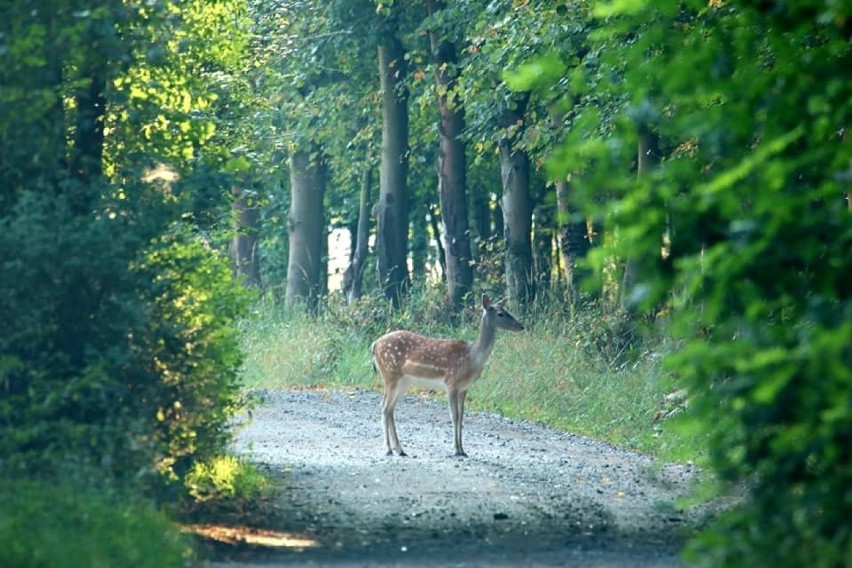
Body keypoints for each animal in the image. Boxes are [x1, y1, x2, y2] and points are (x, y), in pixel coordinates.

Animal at [374, 292, 524, 458]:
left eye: (506, 310)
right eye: (500, 313)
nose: (521, 326)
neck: (472, 358)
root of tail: (374, 345)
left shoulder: (464, 388)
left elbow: (462, 416)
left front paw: (463, 450)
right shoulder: (451, 383)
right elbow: (454, 415)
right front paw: (456, 449)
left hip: (403, 381)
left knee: (390, 408)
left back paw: (399, 449)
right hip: (390, 374)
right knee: (385, 407)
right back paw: (388, 448)